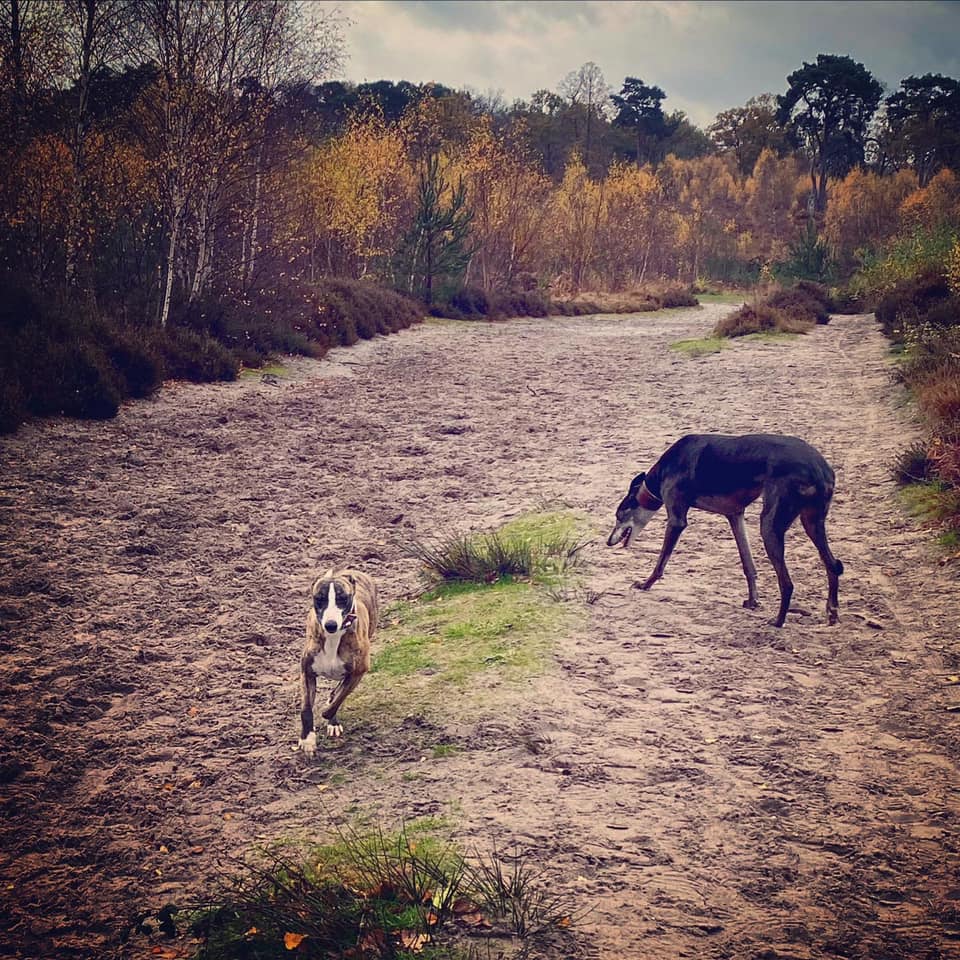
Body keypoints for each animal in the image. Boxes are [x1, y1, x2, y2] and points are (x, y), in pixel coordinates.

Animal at [297, 567, 379, 754]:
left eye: (343, 599)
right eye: (319, 599)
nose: (330, 625)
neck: (333, 637)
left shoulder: (357, 673)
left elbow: (336, 701)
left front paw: (330, 716)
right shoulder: (307, 672)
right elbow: (306, 709)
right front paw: (307, 739)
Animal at [606, 433, 843, 627]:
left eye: (619, 515)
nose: (608, 541)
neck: (666, 467)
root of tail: (821, 470)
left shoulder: (676, 520)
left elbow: (660, 563)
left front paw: (645, 584)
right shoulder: (735, 516)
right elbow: (748, 564)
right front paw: (753, 600)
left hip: (770, 526)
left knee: (787, 583)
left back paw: (778, 621)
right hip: (812, 521)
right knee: (833, 565)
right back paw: (831, 612)